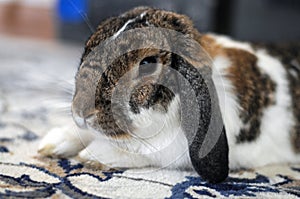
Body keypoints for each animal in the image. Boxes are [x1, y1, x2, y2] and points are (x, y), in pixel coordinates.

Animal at [38, 6, 300, 183]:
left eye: (148, 64)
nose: (81, 111)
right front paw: (54, 141)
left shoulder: (174, 150)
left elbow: (147, 151)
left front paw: (94, 154)